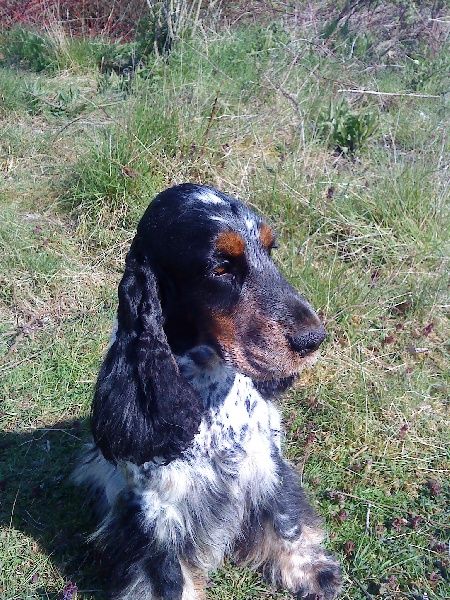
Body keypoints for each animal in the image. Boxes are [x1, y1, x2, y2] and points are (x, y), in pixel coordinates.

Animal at [74, 184, 342, 600]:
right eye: (220, 268)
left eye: (270, 250)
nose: (313, 339)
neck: (210, 389)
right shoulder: (159, 518)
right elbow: (169, 580)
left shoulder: (267, 465)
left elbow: (286, 520)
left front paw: (311, 570)